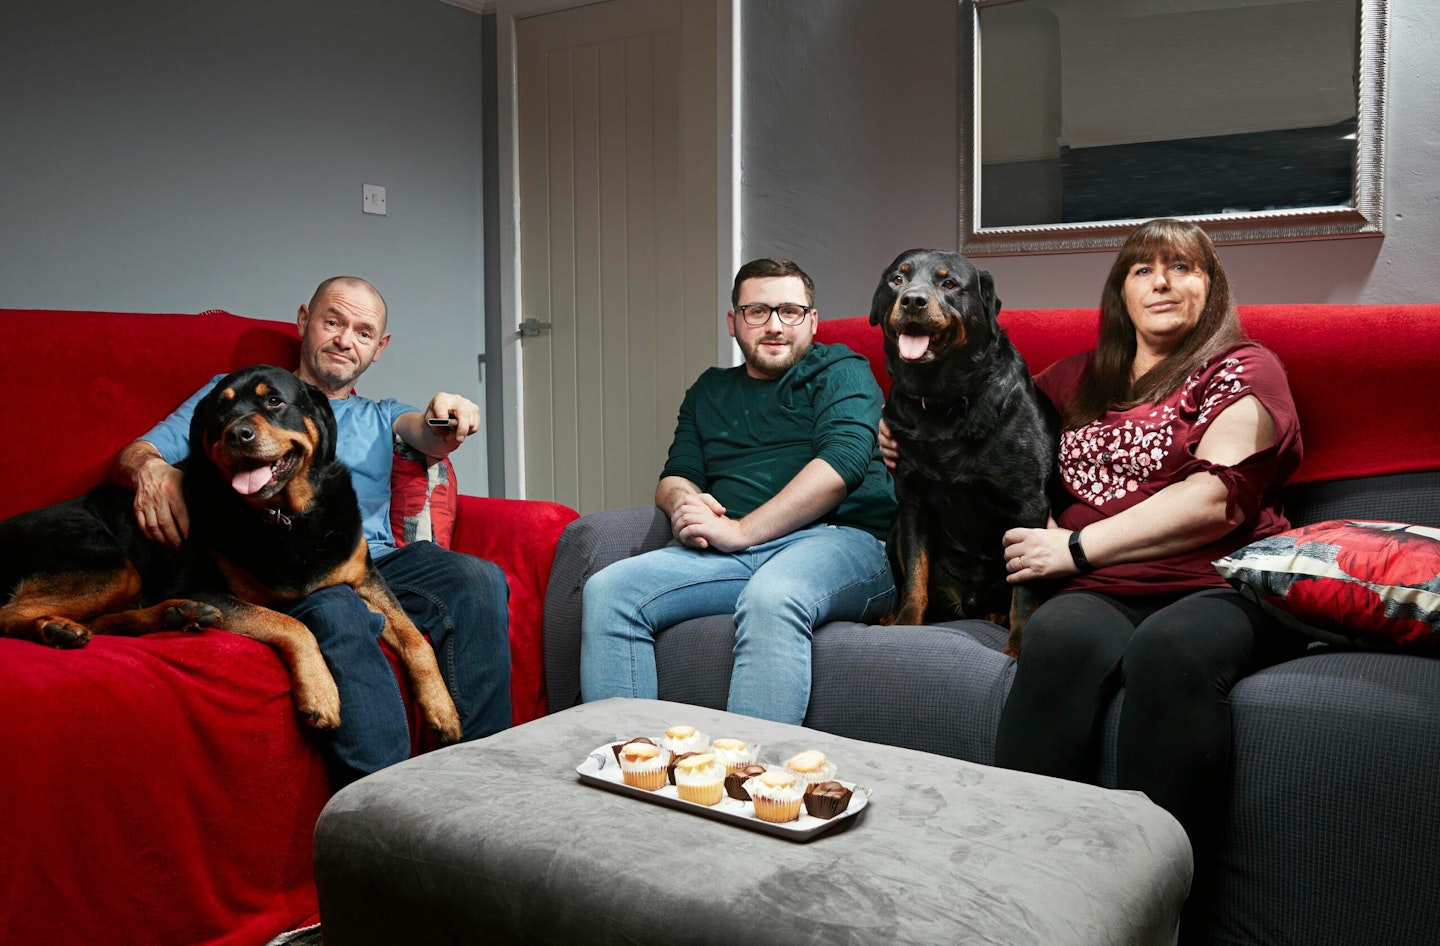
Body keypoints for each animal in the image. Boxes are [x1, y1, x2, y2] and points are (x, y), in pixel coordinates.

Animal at [864, 247, 1059, 653]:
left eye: (949, 283)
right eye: (897, 279)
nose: (913, 300)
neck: (943, 403)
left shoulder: (1029, 505)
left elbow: (1025, 591)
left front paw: (1017, 644)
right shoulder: (913, 501)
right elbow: (915, 575)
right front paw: (906, 624)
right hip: (895, 527)